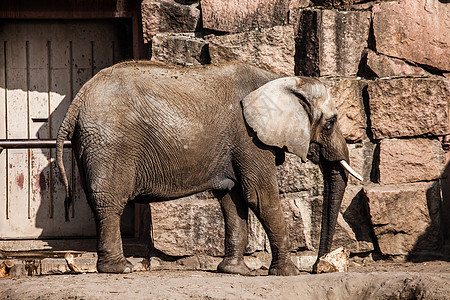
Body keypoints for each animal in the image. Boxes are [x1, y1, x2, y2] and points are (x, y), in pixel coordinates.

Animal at [56, 61, 360, 276]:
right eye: (331, 123)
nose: (319, 266)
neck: (279, 78)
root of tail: (79, 98)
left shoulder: (237, 145)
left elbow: (233, 200)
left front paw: (235, 272)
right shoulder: (249, 137)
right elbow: (260, 197)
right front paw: (289, 273)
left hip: (92, 143)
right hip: (111, 142)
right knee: (109, 202)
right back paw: (121, 269)